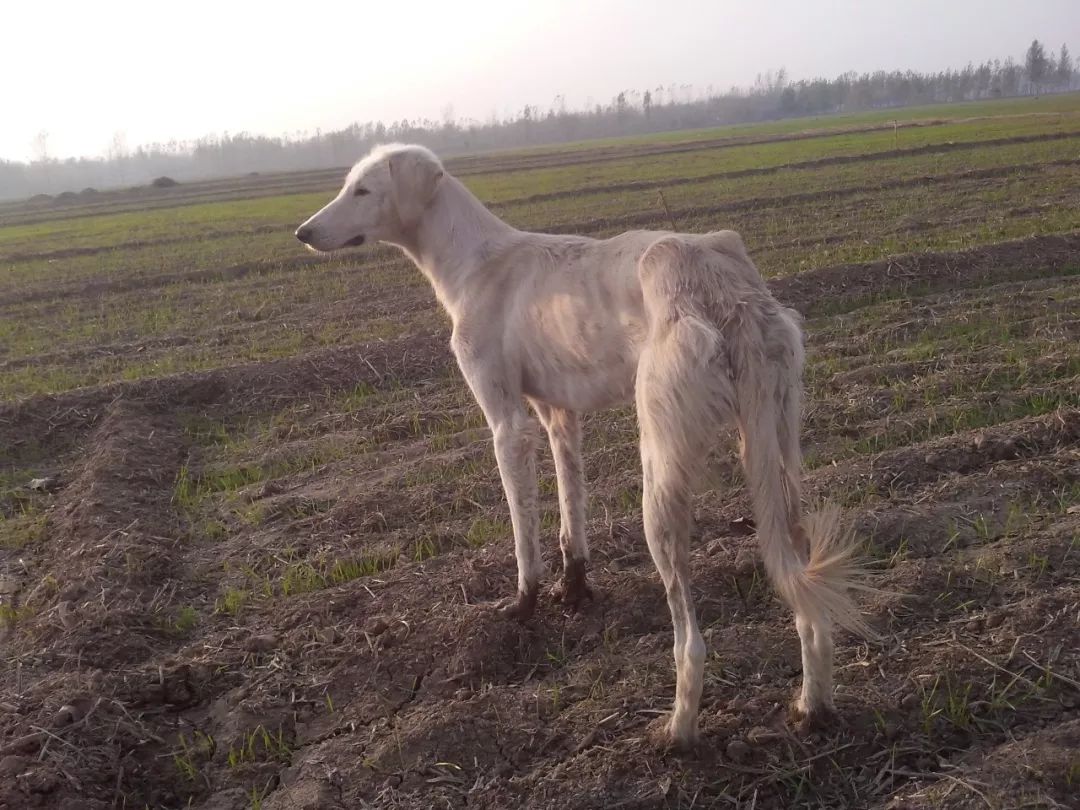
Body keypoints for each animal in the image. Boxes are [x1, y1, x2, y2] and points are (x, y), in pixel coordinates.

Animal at [300, 142, 872, 747]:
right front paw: (573, 590)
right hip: (779, 452)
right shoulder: (558, 416)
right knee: (808, 602)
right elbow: (571, 510)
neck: (476, 259)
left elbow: (522, 531)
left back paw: (677, 730)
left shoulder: (508, 425)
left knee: (691, 639)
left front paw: (523, 605)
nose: (301, 232)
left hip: (661, 478)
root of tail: (716, 278)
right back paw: (812, 706)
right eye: (348, 184)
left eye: (362, 189)